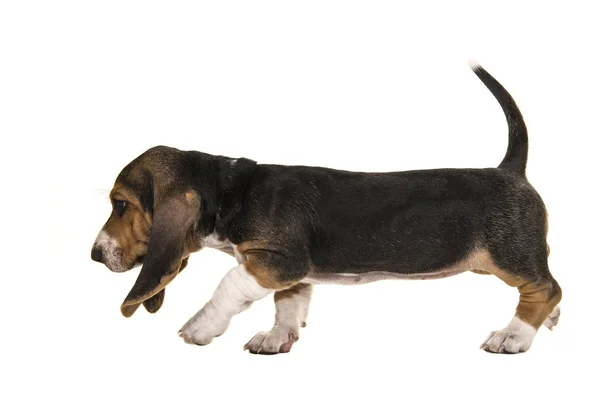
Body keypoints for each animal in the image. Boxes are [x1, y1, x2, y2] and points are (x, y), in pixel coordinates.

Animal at [90, 64, 564, 354]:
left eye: (120, 203)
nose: (95, 255)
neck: (231, 190)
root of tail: (509, 169)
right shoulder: (291, 273)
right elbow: (288, 303)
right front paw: (277, 338)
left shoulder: (280, 260)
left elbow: (229, 284)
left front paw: (201, 327)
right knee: (543, 286)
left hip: (507, 256)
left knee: (546, 289)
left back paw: (514, 336)